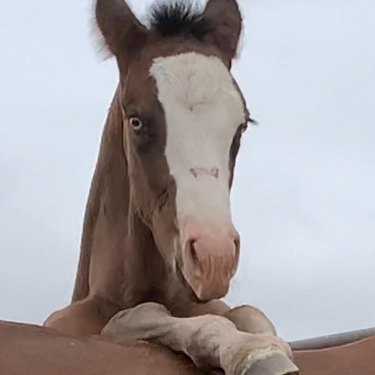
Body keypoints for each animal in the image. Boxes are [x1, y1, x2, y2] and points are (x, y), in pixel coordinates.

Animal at [43, 0, 300, 375]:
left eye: (241, 126)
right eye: (136, 121)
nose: (213, 258)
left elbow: (251, 313)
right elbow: (140, 314)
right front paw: (253, 353)